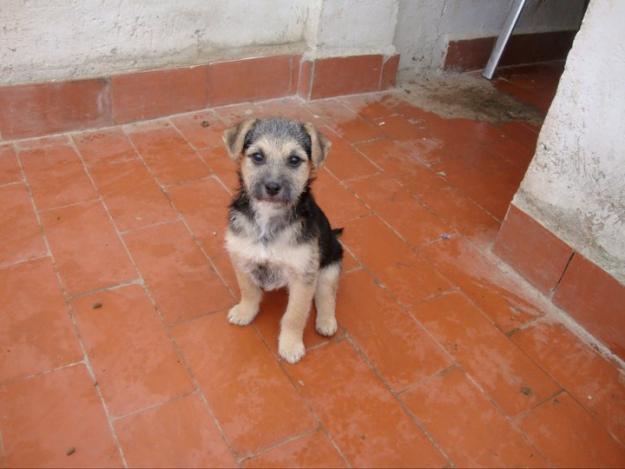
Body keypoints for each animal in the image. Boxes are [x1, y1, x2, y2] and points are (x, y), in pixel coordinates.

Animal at [223, 117, 344, 362]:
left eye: (294, 160)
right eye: (257, 156)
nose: (272, 187)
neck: (268, 218)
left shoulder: (303, 276)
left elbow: (294, 315)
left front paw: (290, 345)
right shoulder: (241, 258)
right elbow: (248, 291)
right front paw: (245, 312)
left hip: (330, 266)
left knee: (326, 296)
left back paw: (326, 322)